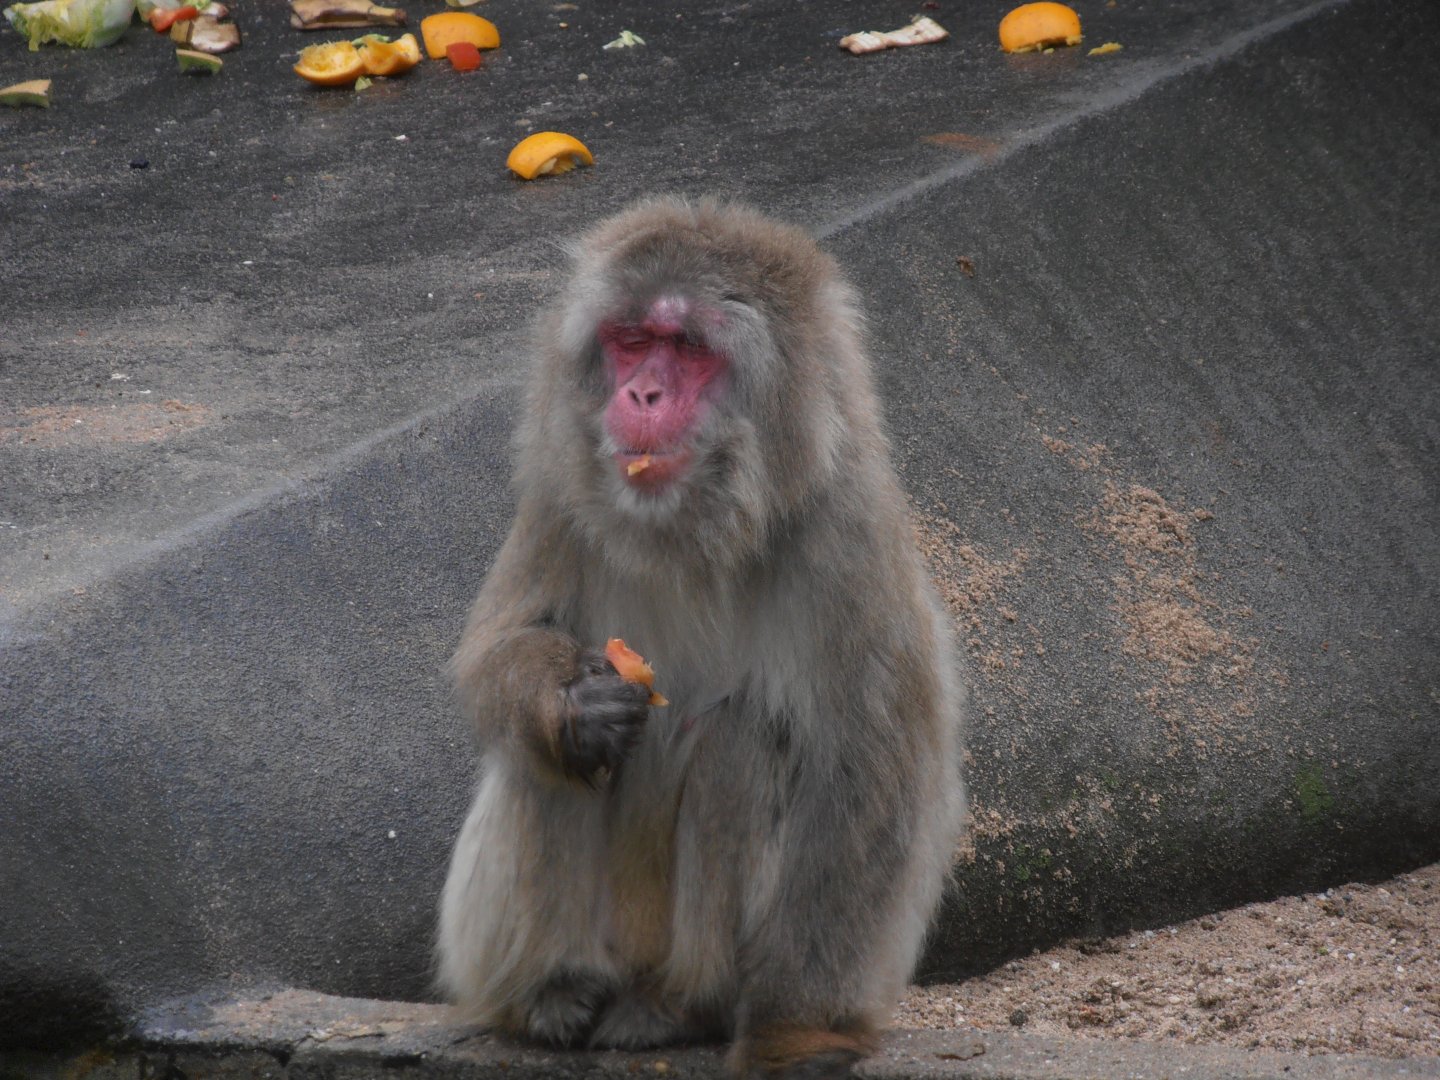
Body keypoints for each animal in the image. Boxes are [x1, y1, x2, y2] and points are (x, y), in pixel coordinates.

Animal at [437, 198, 965, 1078]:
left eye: (687, 349)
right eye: (629, 340)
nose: (642, 392)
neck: (694, 532)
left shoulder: (845, 538)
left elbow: (867, 779)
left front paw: (797, 1036)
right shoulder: (558, 495)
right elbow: (501, 650)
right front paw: (573, 704)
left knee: (742, 745)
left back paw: (676, 1006)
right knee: (539, 766)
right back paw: (554, 993)